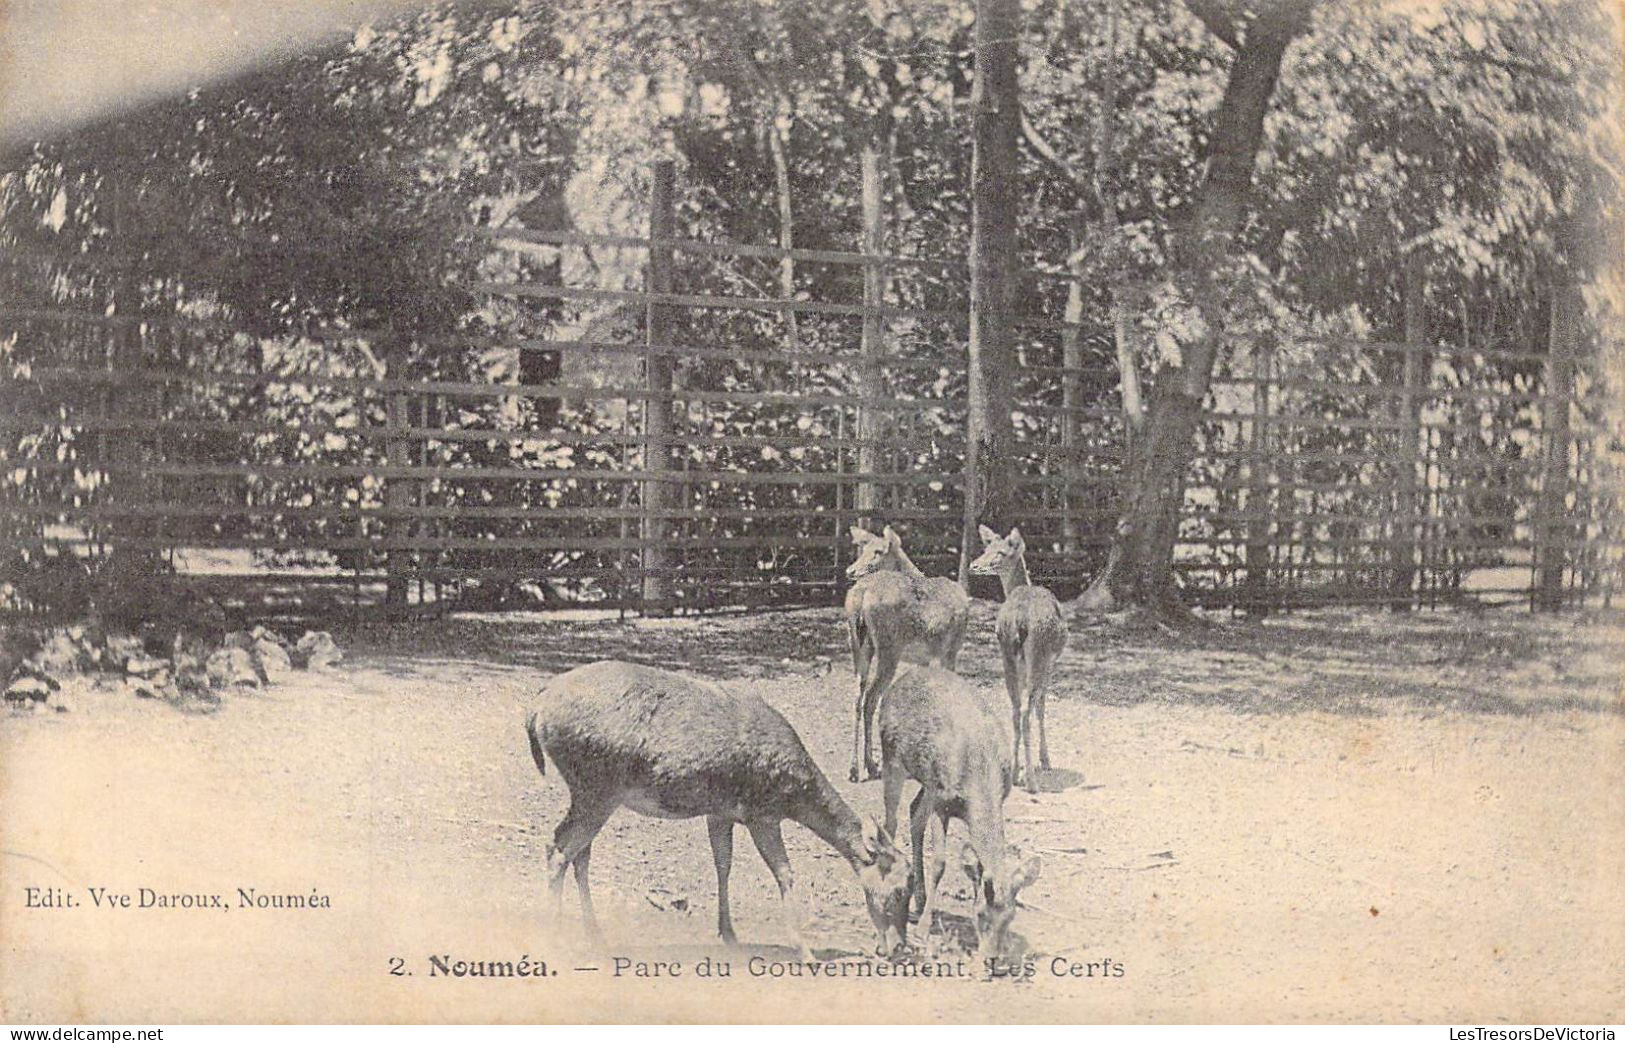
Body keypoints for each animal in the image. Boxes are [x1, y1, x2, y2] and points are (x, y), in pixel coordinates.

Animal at [529, 662, 916, 955]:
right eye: (900, 889)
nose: (898, 948)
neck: (793, 793)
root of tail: (536, 708)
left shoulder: (721, 813)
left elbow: (723, 863)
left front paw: (728, 933)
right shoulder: (762, 813)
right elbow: (785, 873)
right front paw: (804, 950)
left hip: (591, 794)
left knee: (579, 853)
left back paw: (595, 934)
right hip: (597, 789)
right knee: (558, 847)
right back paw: (555, 936)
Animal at [845, 526, 968, 779]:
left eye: (877, 551)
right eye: (864, 548)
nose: (850, 570)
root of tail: (861, 595)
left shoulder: (926, 659)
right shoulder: (947, 651)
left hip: (859, 646)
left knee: (857, 697)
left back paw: (855, 769)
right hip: (889, 648)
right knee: (871, 698)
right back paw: (872, 765)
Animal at [877, 666, 1040, 961]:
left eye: (1010, 918)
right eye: (980, 915)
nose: (993, 957)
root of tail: (900, 681)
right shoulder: (942, 803)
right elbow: (940, 863)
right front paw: (924, 929)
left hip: (927, 782)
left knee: (914, 812)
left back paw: (918, 899)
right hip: (892, 757)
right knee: (891, 821)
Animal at [975, 523, 1066, 792]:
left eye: (1000, 552)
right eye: (986, 548)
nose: (975, 565)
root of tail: (1019, 620)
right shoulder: (1050, 664)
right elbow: (1042, 707)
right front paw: (1045, 761)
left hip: (1006, 655)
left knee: (1015, 709)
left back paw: (1015, 774)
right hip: (1038, 655)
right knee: (1026, 711)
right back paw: (1031, 780)